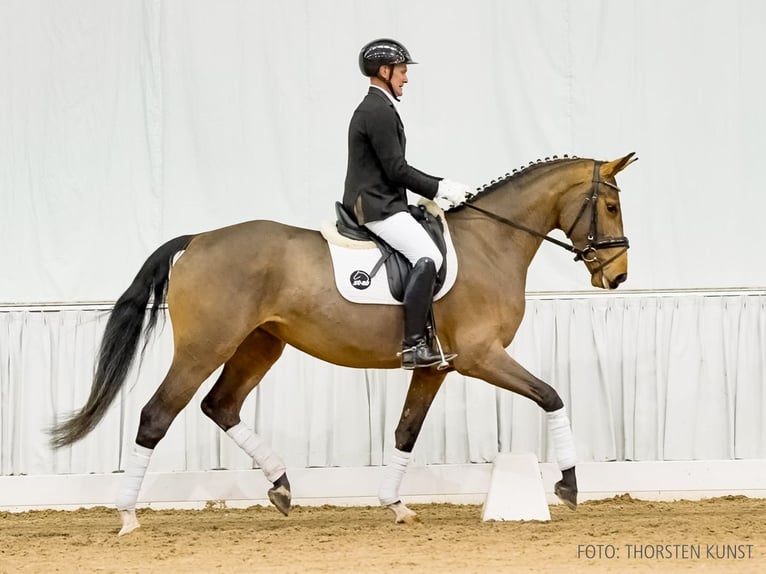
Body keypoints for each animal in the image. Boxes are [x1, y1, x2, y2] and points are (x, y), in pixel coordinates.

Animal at [49, 152, 636, 536]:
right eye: (610, 206)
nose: (618, 276)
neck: (491, 244)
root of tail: (196, 240)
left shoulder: (436, 367)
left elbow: (405, 431)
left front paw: (395, 505)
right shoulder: (479, 357)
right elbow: (552, 395)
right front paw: (568, 486)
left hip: (260, 345)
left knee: (221, 405)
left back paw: (282, 486)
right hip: (204, 347)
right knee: (157, 415)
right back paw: (127, 517)